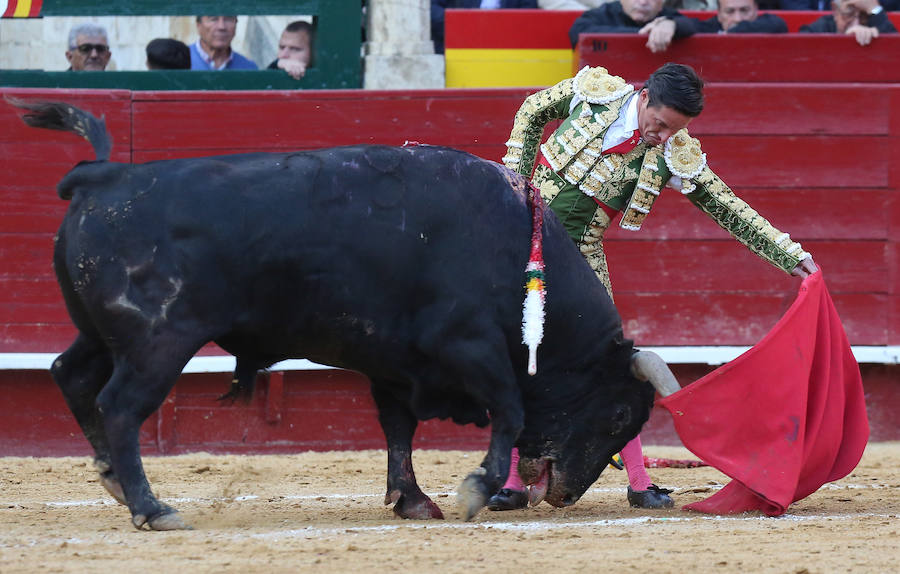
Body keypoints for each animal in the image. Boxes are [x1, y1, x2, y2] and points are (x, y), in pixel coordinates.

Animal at [10, 100, 672, 536]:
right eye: (618, 415)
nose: (564, 495)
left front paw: (413, 500)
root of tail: (103, 175)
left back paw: (115, 482)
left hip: (102, 335)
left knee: (71, 375)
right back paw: (152, 508)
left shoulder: (397, 363)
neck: (517, 251)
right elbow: (507, 409)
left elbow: (398, 428)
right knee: (120, 405)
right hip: (158, 342)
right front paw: (475, 490)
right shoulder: (468, 345)